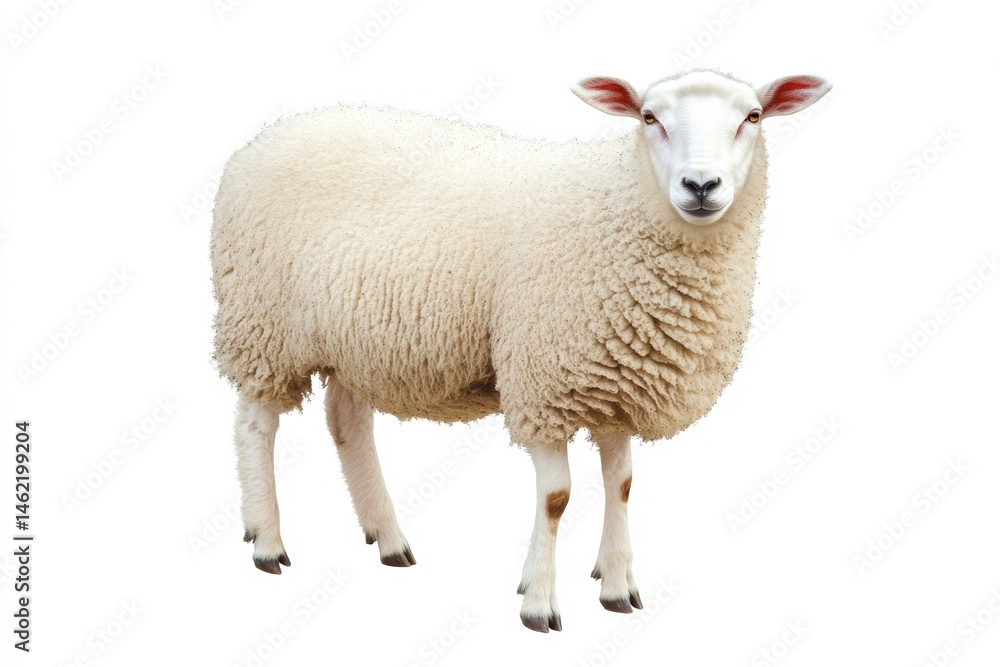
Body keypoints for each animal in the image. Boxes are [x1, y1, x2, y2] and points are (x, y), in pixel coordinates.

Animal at [211, 68, 831, 632]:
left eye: (753, 117)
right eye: (649, 117)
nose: (700, 185)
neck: (620, 207)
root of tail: (268, 136)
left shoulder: (618, 377)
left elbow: (622, 484)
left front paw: (617, 586)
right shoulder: (545, 381)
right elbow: (556, 497)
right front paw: (538, 601)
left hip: (353, 339)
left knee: (347, 422)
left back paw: (387, 537)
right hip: (263, 323)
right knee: (256, 423)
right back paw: (267, 540)